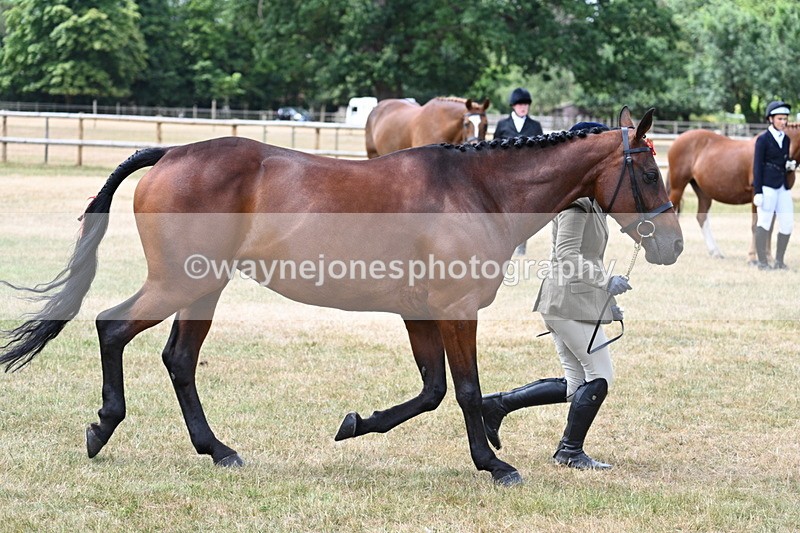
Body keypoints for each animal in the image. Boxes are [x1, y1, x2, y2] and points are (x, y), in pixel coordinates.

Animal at [0, 107, 682, 486]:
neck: (476, 190)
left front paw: (357, 424)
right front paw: (494, 465)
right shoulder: (454, 310)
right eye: (650, 173)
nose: (673, 246)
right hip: (182, 282)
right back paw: (104, 428)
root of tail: (174, 151)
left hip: (203, 287)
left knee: (178, 360)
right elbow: (463, 390)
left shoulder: (420, 312)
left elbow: (432, 391)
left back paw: (217, 450)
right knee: (113, 328)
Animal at [667, 125, 800, 260]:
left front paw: (769, 258)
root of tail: (679, 139)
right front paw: (752, 258)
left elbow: (769, 227)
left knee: (701, 217)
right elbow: (756, 226)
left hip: (703, 192)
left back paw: (715, 252)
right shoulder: (756, 195)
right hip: (678, 187)